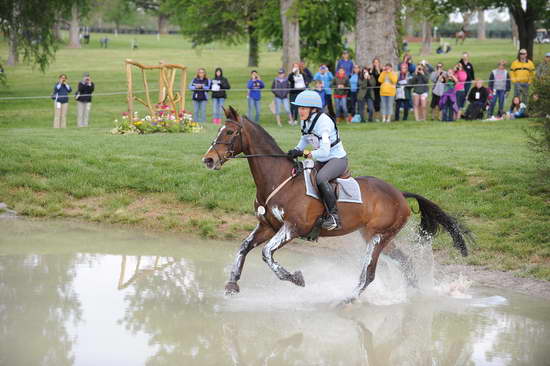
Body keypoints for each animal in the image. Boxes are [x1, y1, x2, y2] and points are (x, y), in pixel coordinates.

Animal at [203, 107, 474, 304]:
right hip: (377, 237)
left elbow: (266, 253)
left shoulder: (293, 228)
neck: (278, 178)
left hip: (378, 237)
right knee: (405, 262)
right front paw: (231, 285)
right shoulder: (268, 226)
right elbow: (244, 247)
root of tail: (399, 193)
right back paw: (416, 294)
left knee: (369, 274)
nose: (208, 160)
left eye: (229, 133)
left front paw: (296, 279)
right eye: (220, 130)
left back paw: (346, 300)